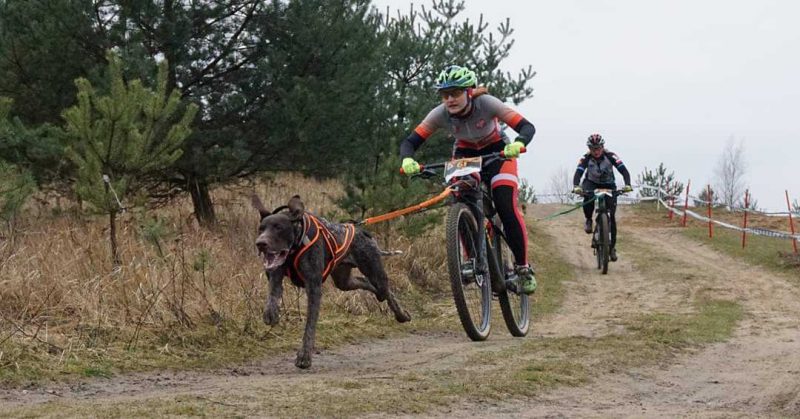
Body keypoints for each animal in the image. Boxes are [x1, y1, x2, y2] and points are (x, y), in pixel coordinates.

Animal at [253, 195, 412, 370]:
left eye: (279, 227)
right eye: (261, 228)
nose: (260, 243)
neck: (294, 248)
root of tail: (362, 231)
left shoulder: (313, 287)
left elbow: (310, 326)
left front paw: (305, 357)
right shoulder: (275, 273)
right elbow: (272, 295)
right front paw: (271, 313)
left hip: (375, 273)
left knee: (386, 291)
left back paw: (401, 314)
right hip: (344, 282)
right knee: (367, 283)